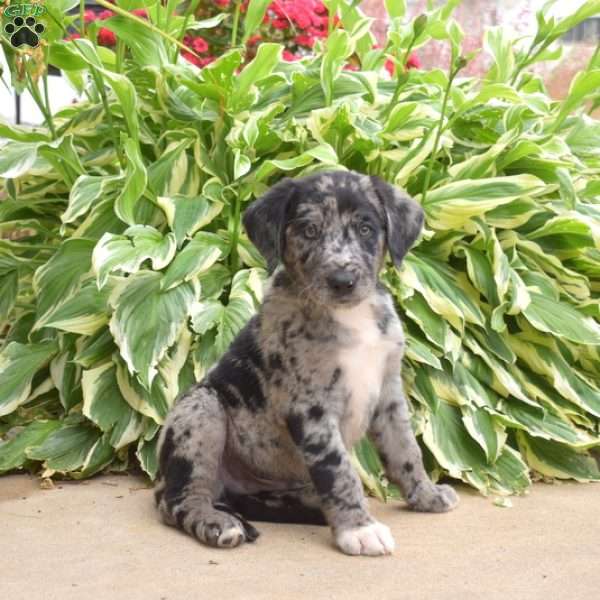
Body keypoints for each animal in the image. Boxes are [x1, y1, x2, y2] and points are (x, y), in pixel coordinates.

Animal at [155, 171, 460, 556]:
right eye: (310, 230)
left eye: (365, 228)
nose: (342, 281)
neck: (350, 316)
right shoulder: (310, 406)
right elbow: (338, 470)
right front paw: (358, 528)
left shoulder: (389, 394)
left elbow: (406, 449)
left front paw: (426, 494)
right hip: (200, 410)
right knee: (178, 500)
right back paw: (216, 522)